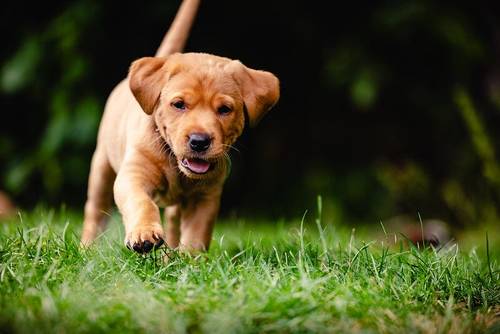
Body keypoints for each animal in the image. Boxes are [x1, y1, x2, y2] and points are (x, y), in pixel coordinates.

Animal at [80, 0, 280, 252]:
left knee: (174, 225)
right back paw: (86, 248)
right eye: (179, 104)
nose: (199, 141)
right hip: (101, 167)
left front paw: (190, 259)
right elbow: (142, 202)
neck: (175, 165)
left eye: (225, 109)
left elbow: (196, 235)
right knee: (95, 211)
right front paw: (144, 234)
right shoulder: (133, 174)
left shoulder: (205, 197)